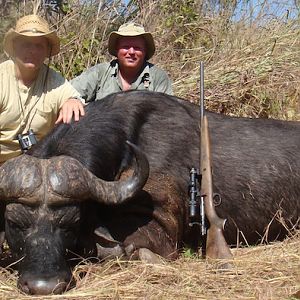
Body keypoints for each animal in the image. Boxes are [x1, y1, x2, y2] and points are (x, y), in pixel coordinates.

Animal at [0, 90, 300, 294]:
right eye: (15, 224)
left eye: (70, 224)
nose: (43, 285)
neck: (127, 148)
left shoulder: (160, 233)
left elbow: (123, 250)